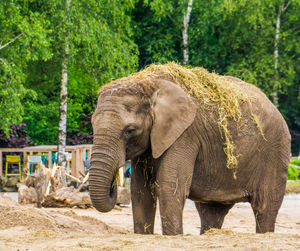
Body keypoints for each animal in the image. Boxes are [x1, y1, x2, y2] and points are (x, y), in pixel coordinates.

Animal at [88, 62, 290, 235]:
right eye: (92, 125)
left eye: (129, 130)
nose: (114, 185)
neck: (149, 83)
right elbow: (140, 191)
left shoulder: (185, 135)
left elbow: (170, 187)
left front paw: (173, 236)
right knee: (211, 211)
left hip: (275, 150)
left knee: (265, 206)